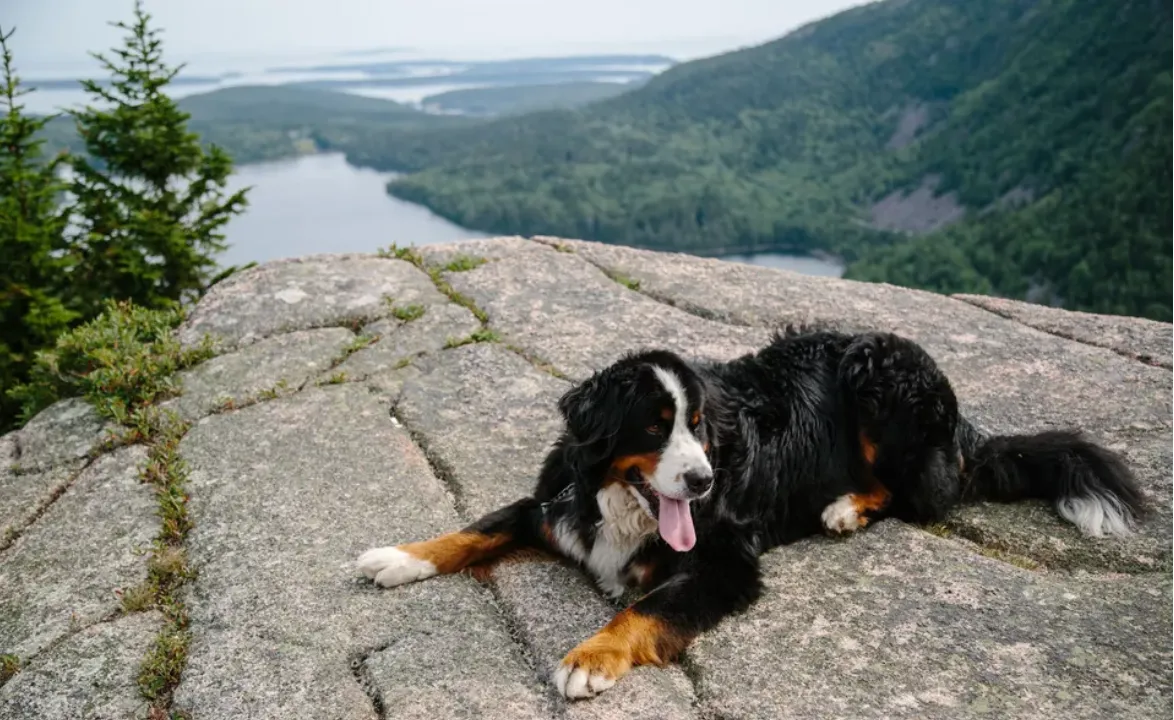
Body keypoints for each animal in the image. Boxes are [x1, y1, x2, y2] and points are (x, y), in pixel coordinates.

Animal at [359, 328, 1145, 700]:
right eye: (655, 429)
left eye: (701, 426)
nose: (703, 480)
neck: (620, 507)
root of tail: (961, 421)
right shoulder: (552, 505)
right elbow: (476, 528)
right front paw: (401, 556)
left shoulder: (727, 563)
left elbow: (641, 610)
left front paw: (588, 658)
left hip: (880, 378)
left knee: (920, 497)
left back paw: (844, 508)